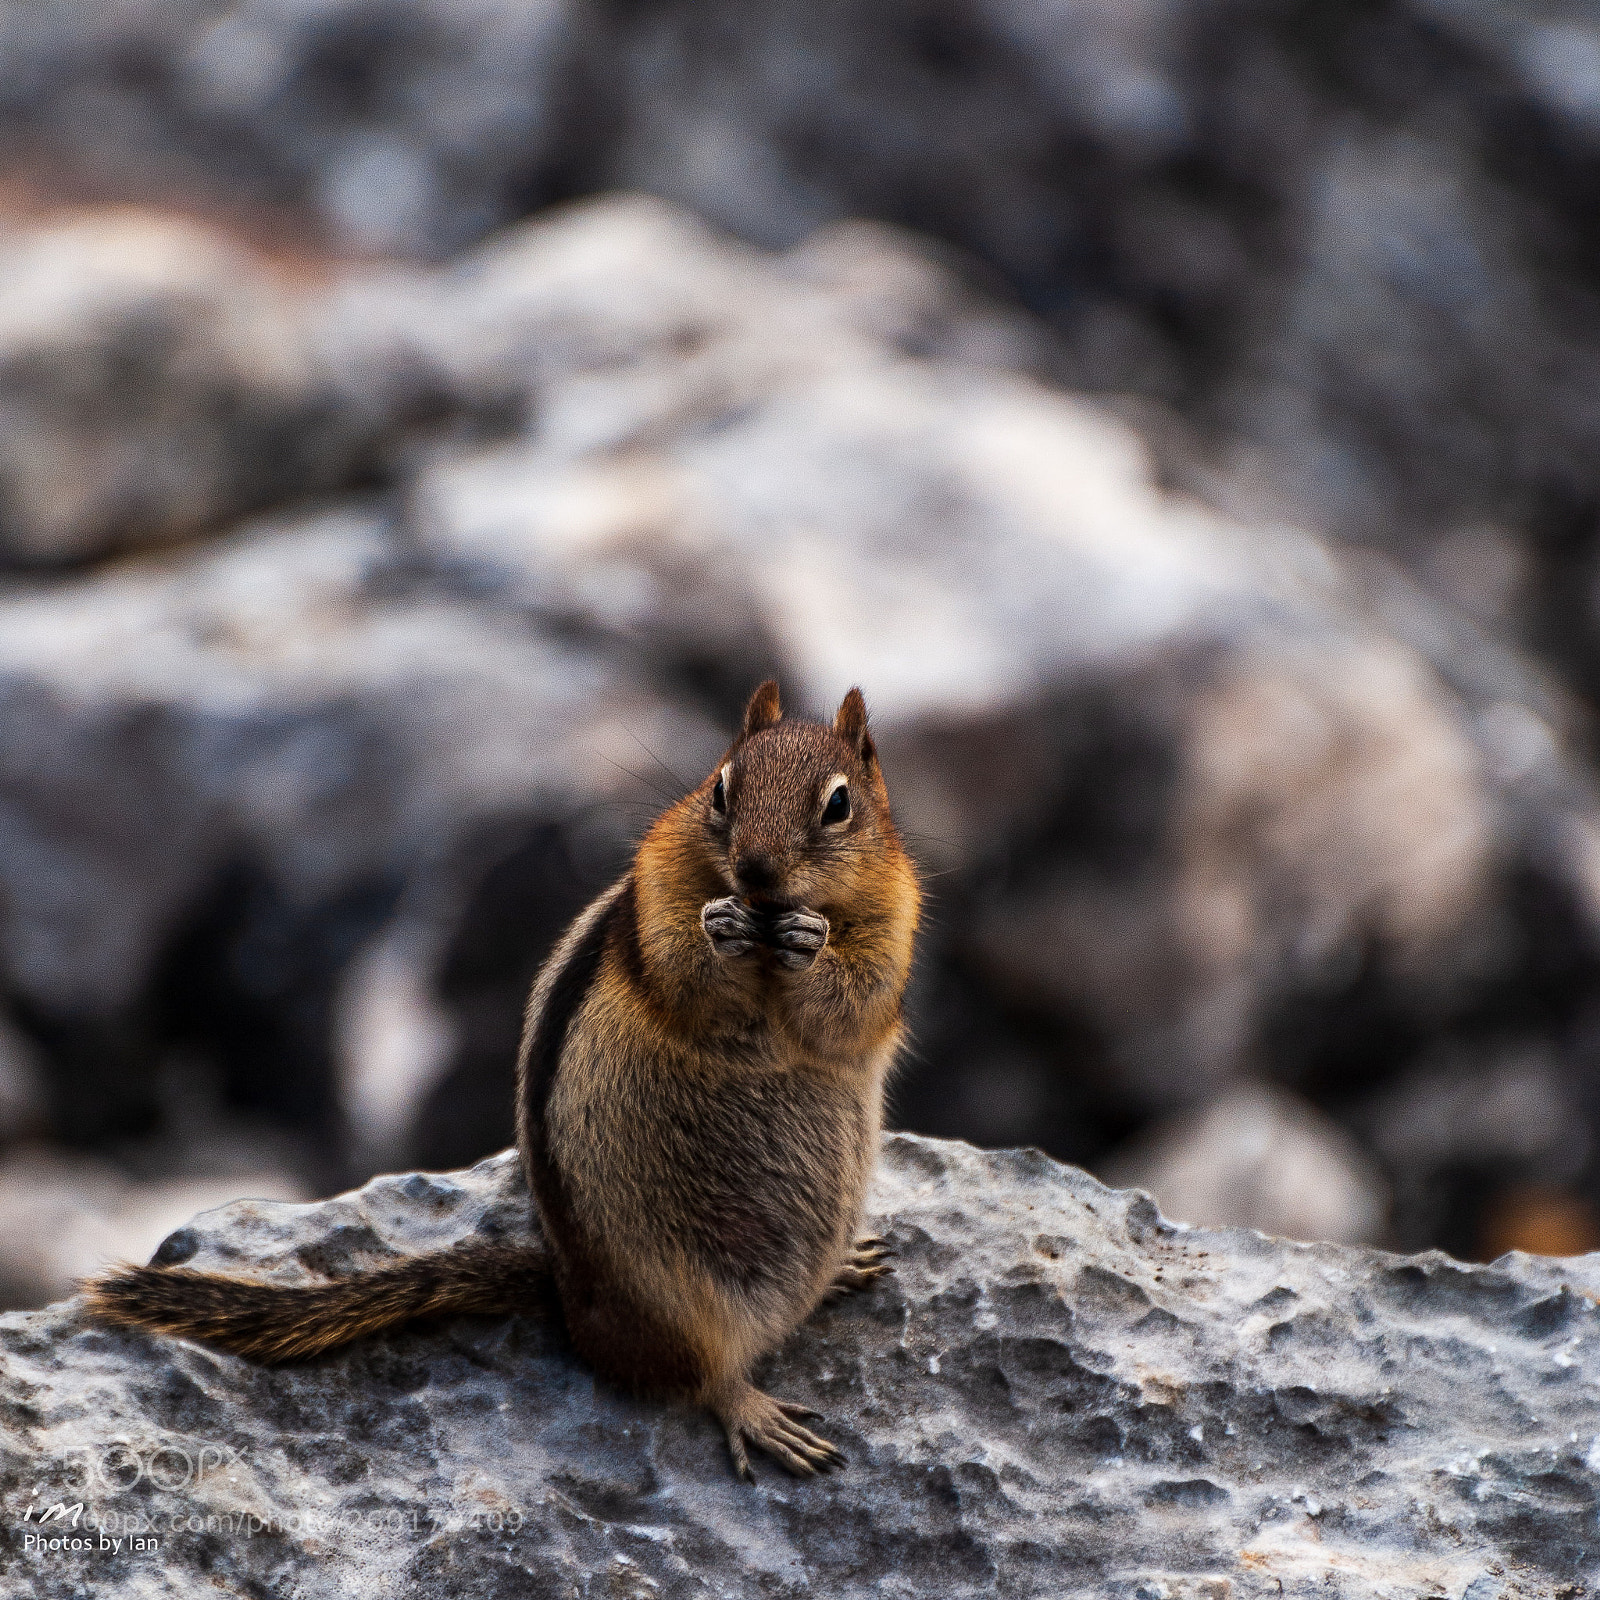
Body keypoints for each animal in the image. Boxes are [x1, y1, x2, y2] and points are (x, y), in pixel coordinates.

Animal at [86, 680, 921, 1480]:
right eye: (720, 789)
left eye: (839, 804)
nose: (753, 868)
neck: (770, 927)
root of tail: (572, 1303)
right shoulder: (654, 899)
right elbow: (686, 972)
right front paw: (722, 930)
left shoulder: (894, 923)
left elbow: (856, 999)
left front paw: (812, 944)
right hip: (680, 1306)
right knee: (702, 1380)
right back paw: (756, 1412)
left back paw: (840, 1269)